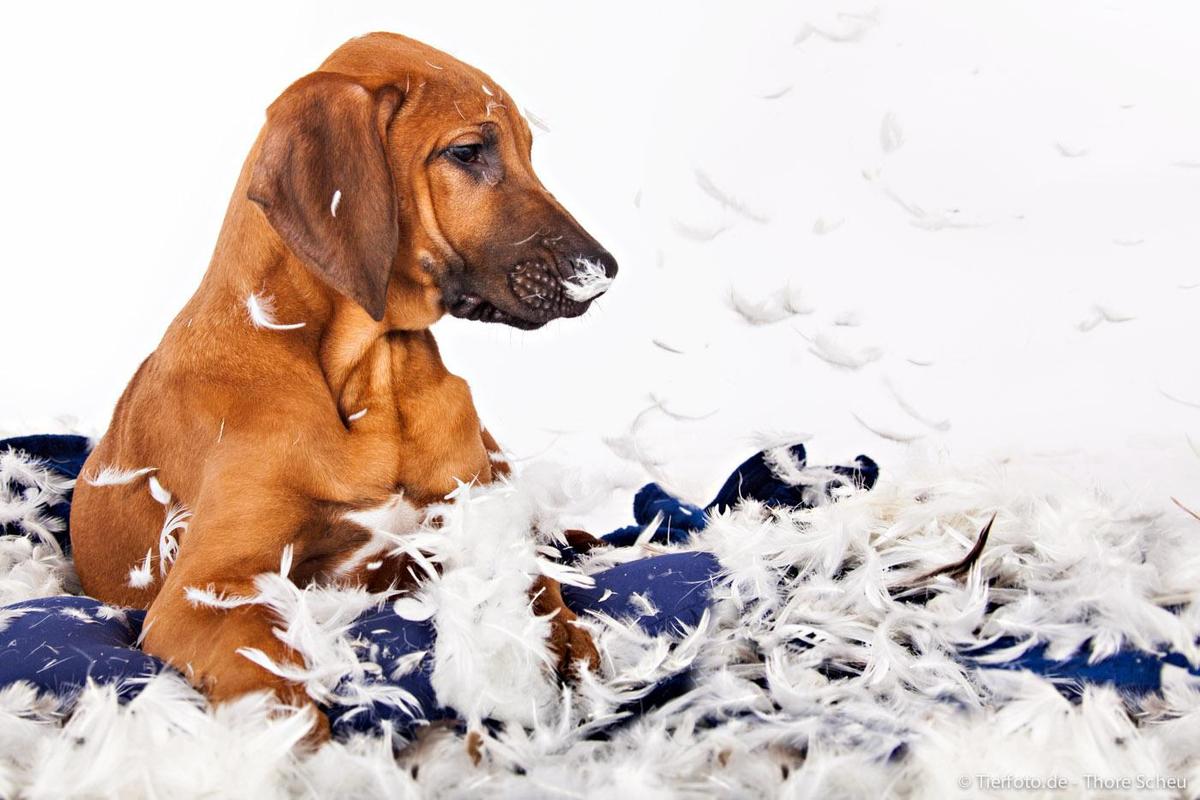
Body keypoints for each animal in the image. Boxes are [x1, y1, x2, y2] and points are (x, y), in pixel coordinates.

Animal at [68, 34, 619, 743]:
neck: (370, 373)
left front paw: (568, 648)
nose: (605, 272)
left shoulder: (470, 521)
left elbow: (532, 586)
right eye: (468, 152)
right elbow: (273, 682)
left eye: (529, 150)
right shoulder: (205, 593)